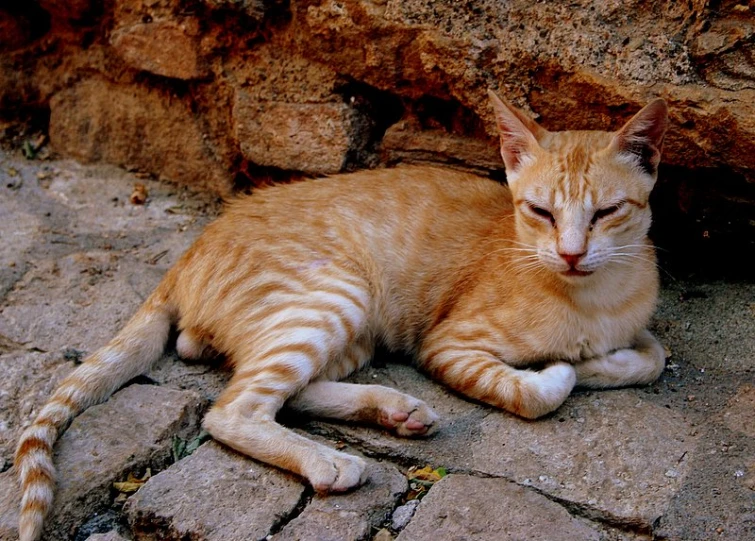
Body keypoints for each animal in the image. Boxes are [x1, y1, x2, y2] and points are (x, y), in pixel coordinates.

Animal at [16, 90, 668, 536]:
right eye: (539, 211)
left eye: (607, 212)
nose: (572, 253)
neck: (594, 296)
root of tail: (191, 250)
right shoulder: (446, 344)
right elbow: (537, 392)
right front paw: (564, 371)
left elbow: (653, 357)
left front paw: (598, 362)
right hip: (337, 293)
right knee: (233, 407)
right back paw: (330, 460)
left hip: (354, 326)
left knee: (281, 387)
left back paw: (394, 410)